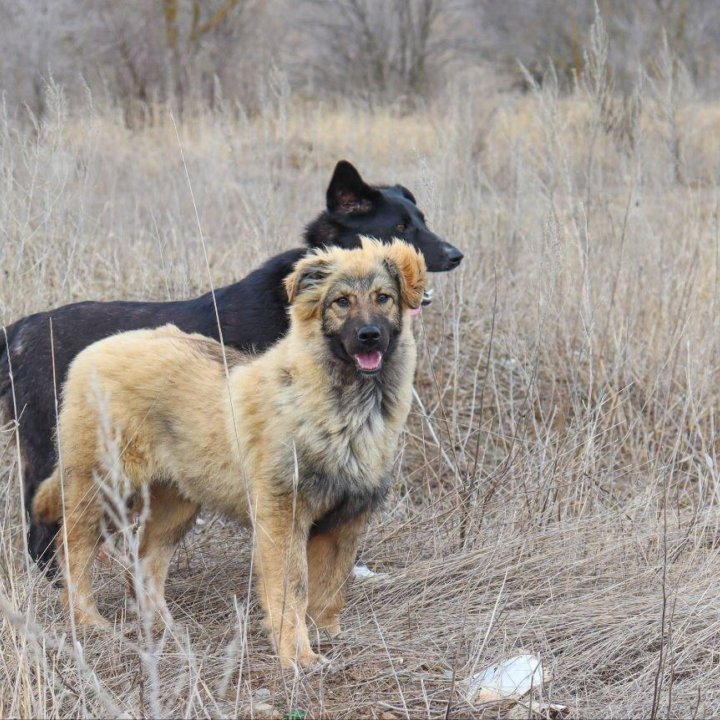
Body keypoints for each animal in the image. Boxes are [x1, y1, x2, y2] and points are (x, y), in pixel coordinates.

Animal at [0, 158, 462, 568]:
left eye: (421, 220)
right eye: (399, 228)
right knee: (42, 529)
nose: (457, 255)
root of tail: (19, 330)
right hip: (58, 452)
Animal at [33, 238, 424, 668]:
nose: (370, 336)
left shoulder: (346, 520)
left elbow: (330, 589)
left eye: (384, 298)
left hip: (176, 504)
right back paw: (89, 622)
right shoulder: (282, 515)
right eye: (341, 302)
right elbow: (292, 589)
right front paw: (298, 657)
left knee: (146, 565)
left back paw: (167, 629)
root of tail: (92, 352)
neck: (348, 407)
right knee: (73, 551)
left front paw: (327, 635)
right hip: (102, 487)